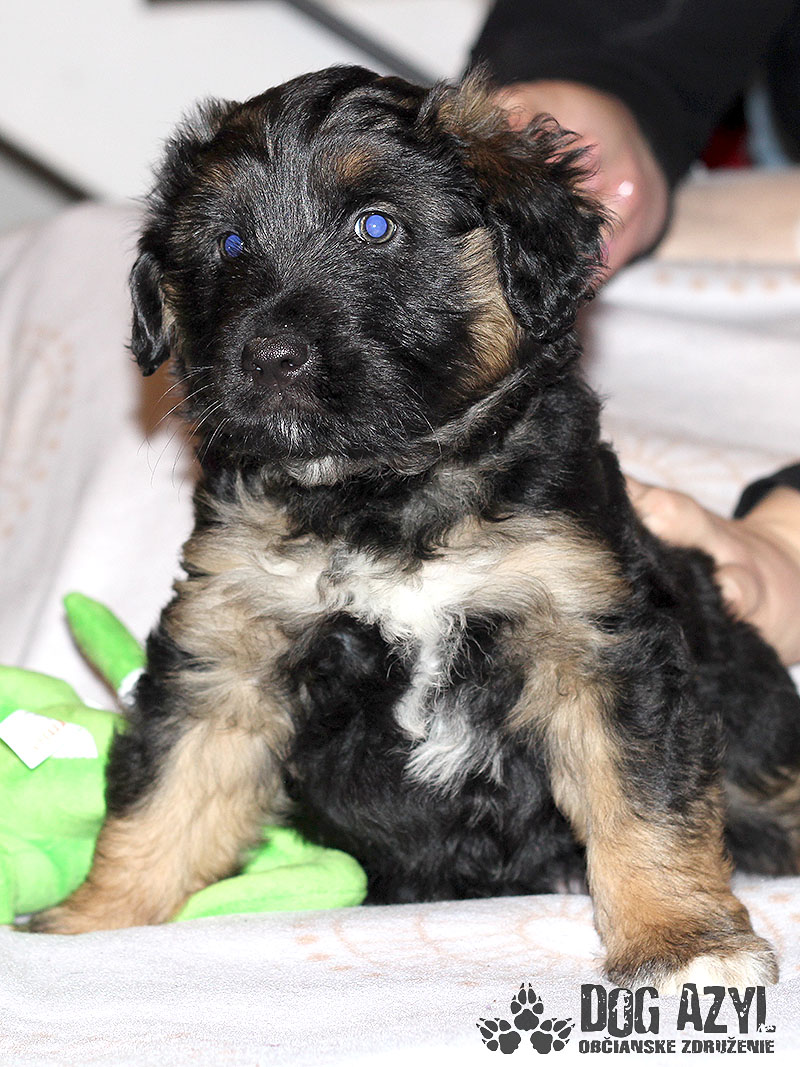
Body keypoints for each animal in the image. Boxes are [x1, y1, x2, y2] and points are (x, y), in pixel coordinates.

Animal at [32, 66, 800, 992]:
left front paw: (679, 940)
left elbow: (643, 800)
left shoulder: (593, 637)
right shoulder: (228, 650)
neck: (379, 494)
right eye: (228, 244)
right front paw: (87, 927)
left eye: (377, 225)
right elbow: (165, 796)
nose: (267, 357)